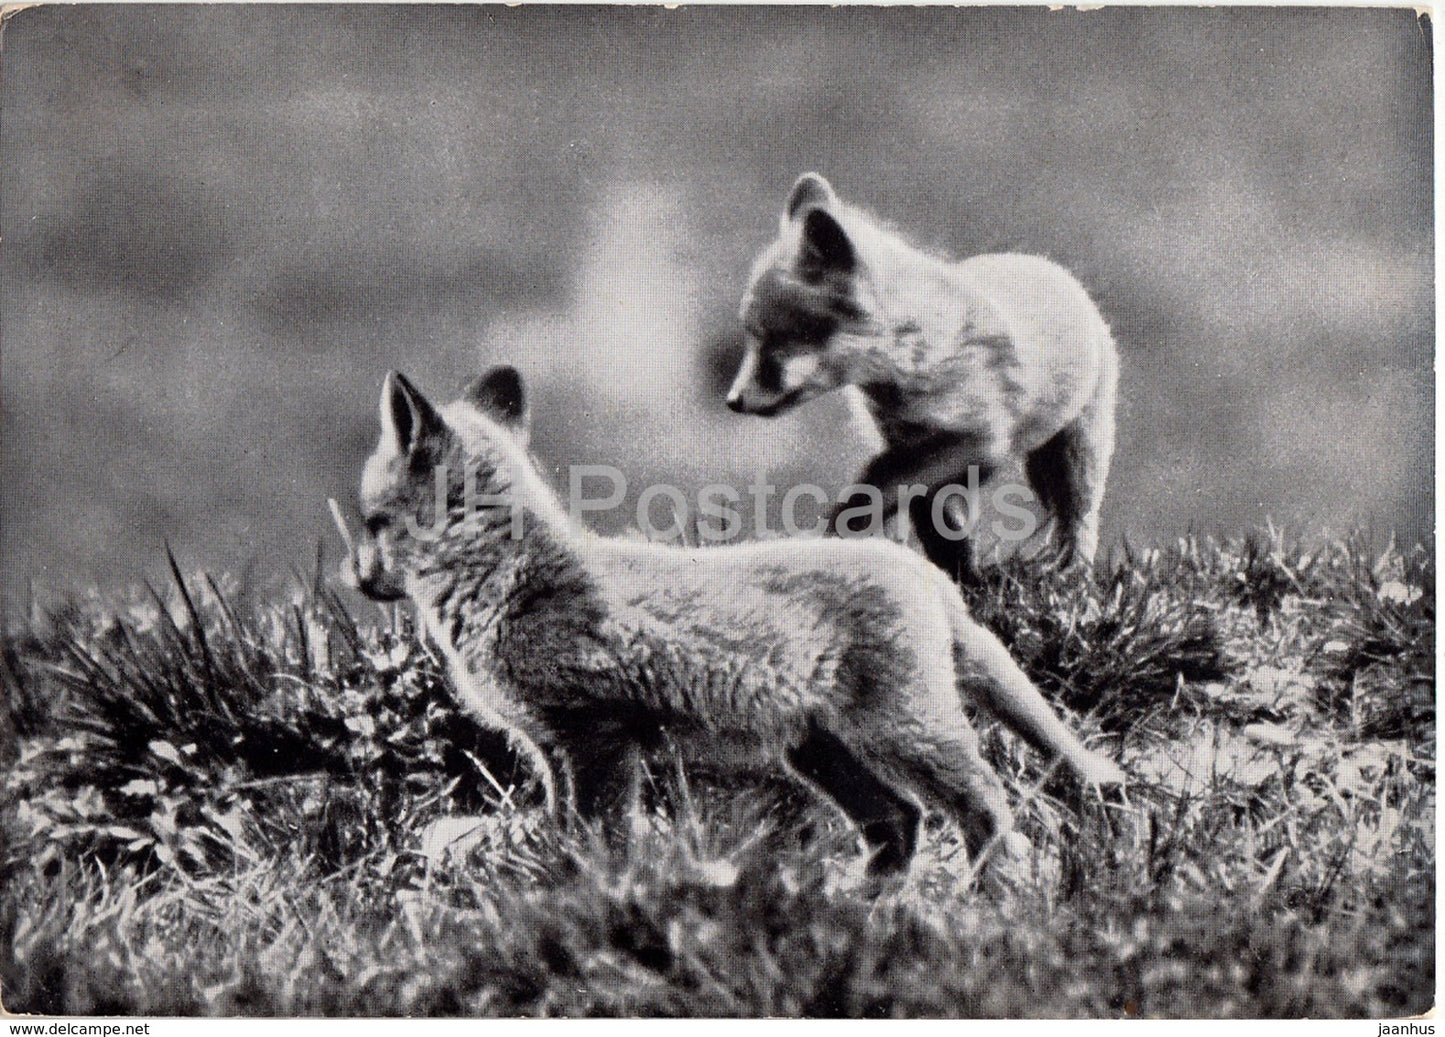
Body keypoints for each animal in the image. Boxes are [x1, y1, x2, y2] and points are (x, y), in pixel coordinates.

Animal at [340, 365, 1125, 881]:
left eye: (372, 522)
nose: (355, 577)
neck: (510, 584)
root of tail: (928, 576)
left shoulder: (598, 735)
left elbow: (602, 840)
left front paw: (594, 892)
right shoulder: (551, 747)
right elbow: (565, 831)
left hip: (902, 734)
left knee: (985, 807)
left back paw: (988, 894)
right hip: (818, 752)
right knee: (899, 824)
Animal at [726, 173, 1119, 578]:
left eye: (775, 339)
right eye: (752, 337)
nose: (733, 401)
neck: (917, 357)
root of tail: (1050, 268)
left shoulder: (978, 440)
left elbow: (874, 485)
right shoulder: (907, 442)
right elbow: (937, 525)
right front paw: (960, 577)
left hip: (1078, 452)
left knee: (1078, 519)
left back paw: (1070, 569)